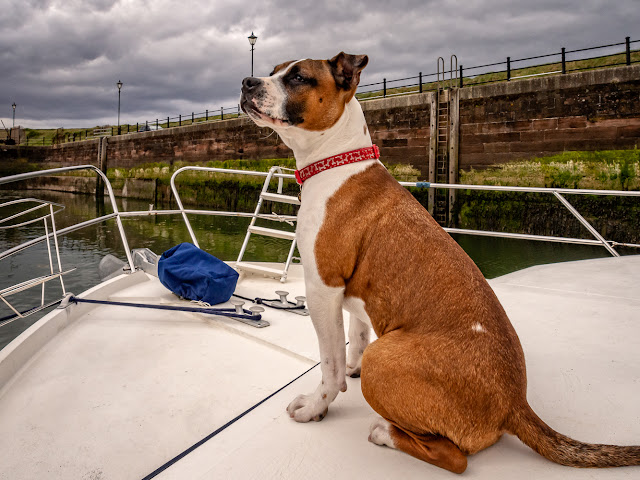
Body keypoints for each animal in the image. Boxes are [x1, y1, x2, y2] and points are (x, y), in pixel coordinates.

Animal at [240, 52, 640, 473]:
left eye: (299, 77)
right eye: (272, 71)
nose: (247, 82)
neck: (336, 161)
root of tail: (514, 405)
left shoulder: (322, 288)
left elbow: (329, 364)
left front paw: (316, 406)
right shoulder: (351, 294)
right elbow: (357, 336)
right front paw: (353, 365)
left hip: (387, 358)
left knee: (455, 458)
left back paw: (385, 433)